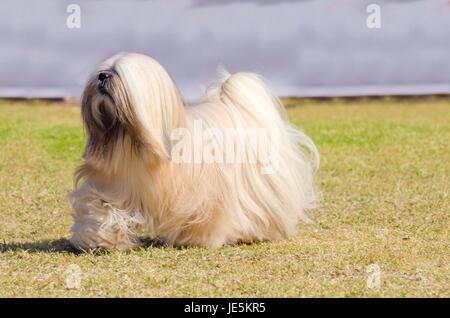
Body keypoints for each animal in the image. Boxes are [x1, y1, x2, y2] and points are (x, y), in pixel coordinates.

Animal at [68, 52, 318, 251]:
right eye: (102, 71)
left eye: (116, 73)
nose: (102, 76)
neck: (133, 142)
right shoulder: (111, 184)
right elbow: (99, 209)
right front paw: (99, 241)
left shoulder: (202, 194)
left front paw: (199, 239)